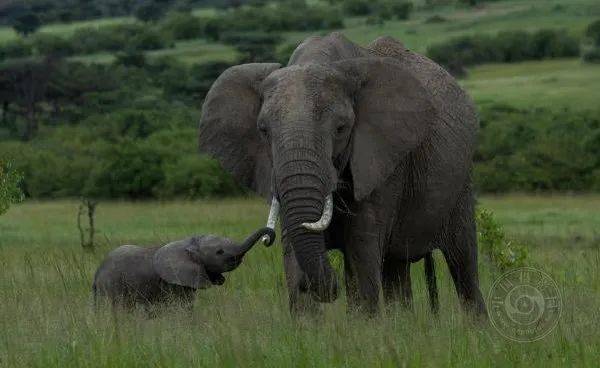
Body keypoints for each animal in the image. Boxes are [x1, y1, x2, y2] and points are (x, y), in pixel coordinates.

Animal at [92, 227, 276, 310]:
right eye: (219, 252)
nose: (267, 239)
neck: (189, 244)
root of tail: (97, 273)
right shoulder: (176, 281)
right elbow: (184, 307)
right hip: (113, 285)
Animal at [199, 33, 486, 316]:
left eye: (340, 129)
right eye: (263, 130)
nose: (322, 287)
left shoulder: (382, 158)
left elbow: (360, 247)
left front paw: (363, 323)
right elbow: (292, 244)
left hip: (461, 181)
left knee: (462, 261)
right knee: (396, 267)